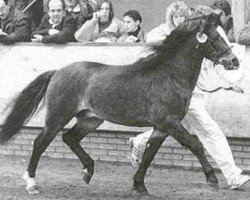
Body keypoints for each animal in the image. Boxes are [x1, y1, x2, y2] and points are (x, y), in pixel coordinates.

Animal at [0, 12, 238, 195]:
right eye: (215, 36)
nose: (234, 61)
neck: (169, 75)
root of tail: (57, 72)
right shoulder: (169, 122)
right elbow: (195, 144)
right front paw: (212, 180)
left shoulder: (161, 127)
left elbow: (149, 154)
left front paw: (139, 186)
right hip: (57, 117)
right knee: (40, 143)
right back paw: (32, 184)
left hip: (90, 119)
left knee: (70, 138)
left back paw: (88, 172)